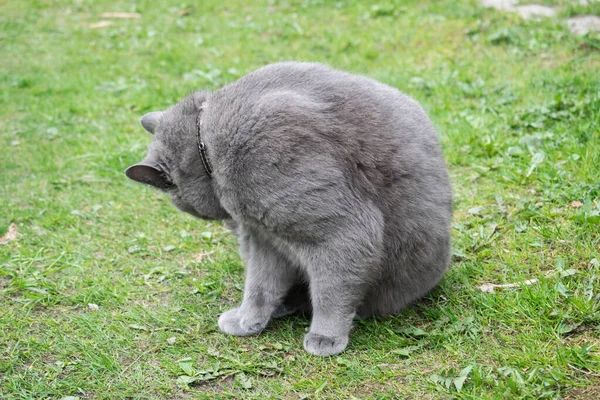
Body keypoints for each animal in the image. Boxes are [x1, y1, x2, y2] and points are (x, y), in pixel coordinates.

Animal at [129, 61, 452, 354]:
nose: (227, 222)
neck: (208, 140)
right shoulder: (265, 237)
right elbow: (259, 284)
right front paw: (248, 321)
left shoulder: (340, 229)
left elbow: (330, 290)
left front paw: (325, 338)